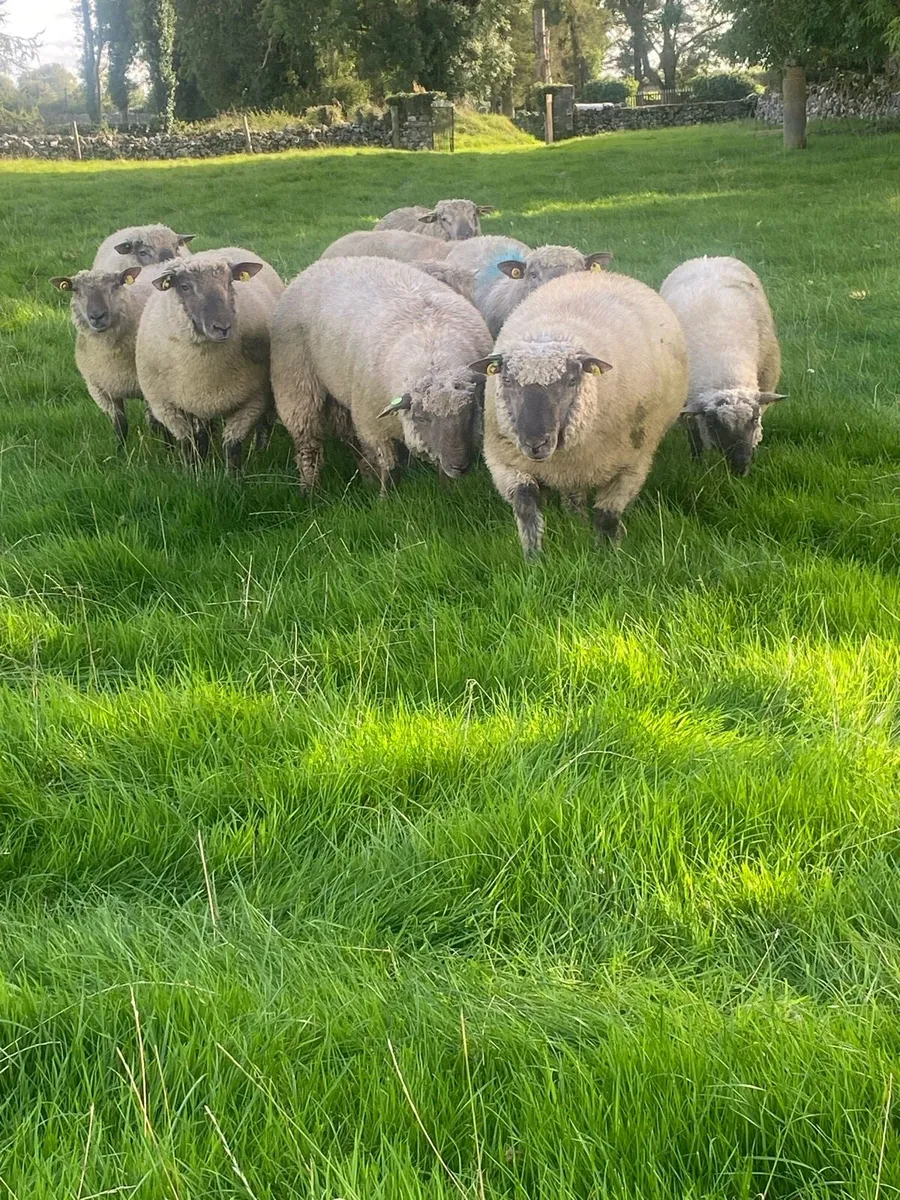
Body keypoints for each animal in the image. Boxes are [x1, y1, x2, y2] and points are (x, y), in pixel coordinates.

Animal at [50, 263, 171, 446]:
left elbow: (161, 424)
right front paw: (120, 451)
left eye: (115, 285)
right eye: (76, 290)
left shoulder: (153, 389)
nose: (97, 316)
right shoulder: (104, 390)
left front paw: (168, 448)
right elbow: (120, 425)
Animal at [135, 248, 283, 471]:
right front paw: (192, 471)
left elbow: (232, 446)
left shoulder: (252, 400)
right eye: (185, 286)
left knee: (263, 424)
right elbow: (189, 442)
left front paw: (232, 476)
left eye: (230, 282)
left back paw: (260, 449)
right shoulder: (166, 406)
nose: (222, 327)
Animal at [271, 256, 492, 492]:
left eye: (469, 413)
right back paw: (310, 490)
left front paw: (446, 490)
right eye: (421, 418)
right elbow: (389, 465)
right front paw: (386, 495)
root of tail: (324, 263)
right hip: (296, 383)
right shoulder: (374, 424)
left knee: (350, 437)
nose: (459, 466)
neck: (431, 347)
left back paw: (366, 479)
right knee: (308, 444)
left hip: (339, 388)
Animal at [476, 270, 688, 558]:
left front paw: (608, 557)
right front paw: (534, 559)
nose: (535, 443)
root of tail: (604, 274)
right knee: (573, 492)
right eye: (507, 379)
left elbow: (607, 516)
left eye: (572, 380)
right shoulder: (506, 462)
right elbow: (527, 509)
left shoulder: (631, 467)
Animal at [659, 256, 785, 476]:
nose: (741, 467)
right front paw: (697, 464)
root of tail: (707, 258)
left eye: (754, 419)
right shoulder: (689, 407)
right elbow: (695, 439)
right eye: (714, 424)